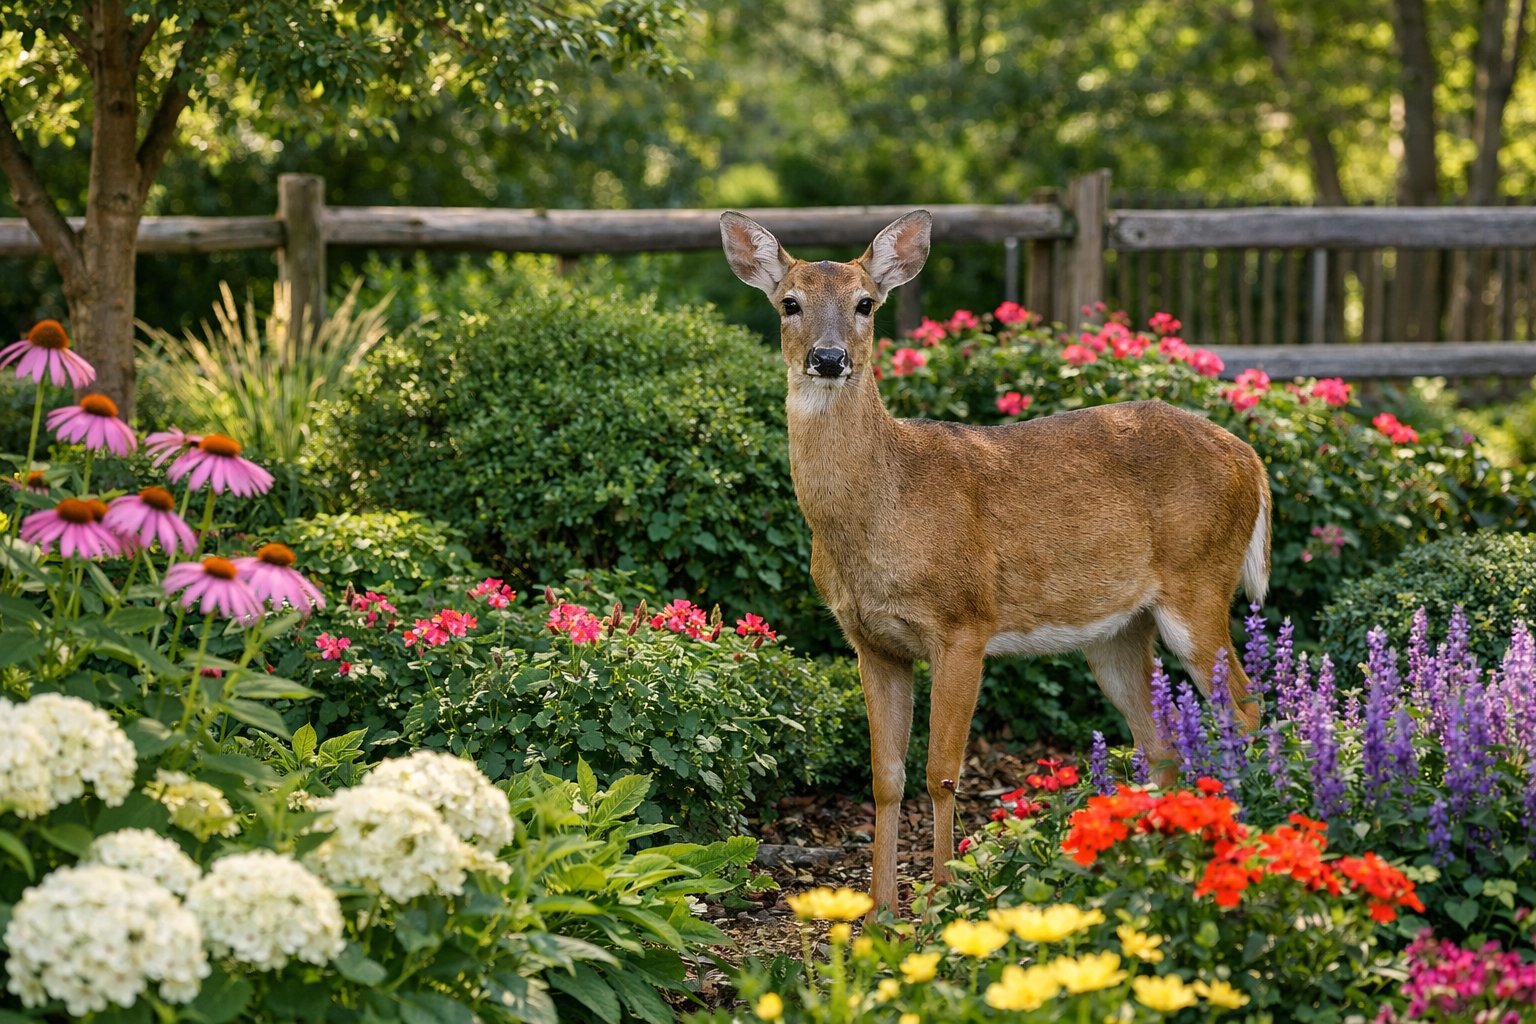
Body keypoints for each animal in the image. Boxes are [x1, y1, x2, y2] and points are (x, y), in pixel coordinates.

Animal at [719, 209, 1271, 914]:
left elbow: (942, 773)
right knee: (1163, 744)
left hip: (1199, 584)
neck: (883, 507)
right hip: (1119, 631)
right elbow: (885, 778)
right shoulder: (872, 641)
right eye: (789, 303)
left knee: (1246, 710)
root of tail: (1251, 458)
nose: (829, 357)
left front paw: (942, 902)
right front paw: (879, 913)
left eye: (866, 303)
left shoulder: (964, 623)